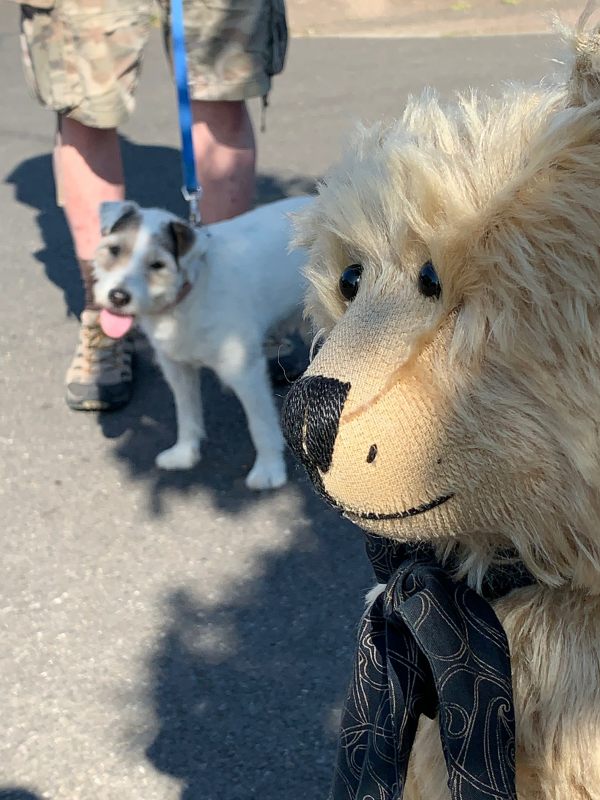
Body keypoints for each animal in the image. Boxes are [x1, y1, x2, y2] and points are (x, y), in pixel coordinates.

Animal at [95, 197, 310, 490]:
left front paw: (269, 468)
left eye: (157, 265)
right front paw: (185, 453)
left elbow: (261, 424)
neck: (192, 291)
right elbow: (186, 413)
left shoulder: (245, 373)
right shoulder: (177, 369)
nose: (118, 297)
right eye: (114, 250)